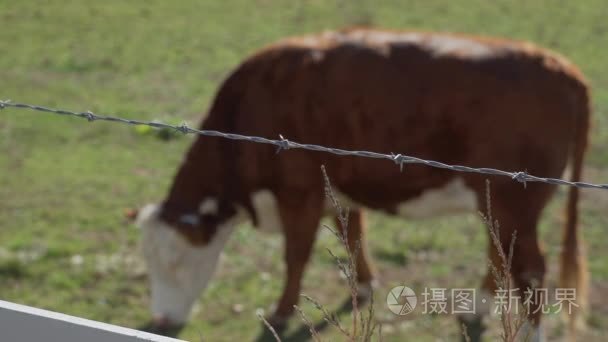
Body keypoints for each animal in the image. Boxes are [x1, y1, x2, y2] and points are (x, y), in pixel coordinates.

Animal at [132, 28, 588, 340]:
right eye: (149, 263)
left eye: (175, 260)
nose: (161, 320)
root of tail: (558, 65)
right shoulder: (338, 186)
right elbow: (353, 237)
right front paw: (366, 285)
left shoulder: (298, 192)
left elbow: (296, 256)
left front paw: (280, 312)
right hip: (495, 201)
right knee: (501, 253)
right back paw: (474, 309)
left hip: (514, 200)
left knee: (530, 269)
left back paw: (526, 332)